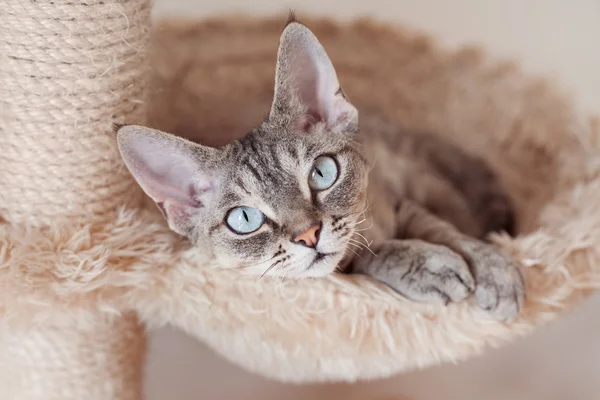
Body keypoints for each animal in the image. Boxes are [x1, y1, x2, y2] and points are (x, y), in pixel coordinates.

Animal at [118, 17, 524, 322]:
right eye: (245, 219)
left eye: (322, 173)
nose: (309, 235)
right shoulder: (348, 264)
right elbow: (368, 255)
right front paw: (425, 266)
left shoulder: (399, 201)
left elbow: (447, 231)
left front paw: (493, 268)